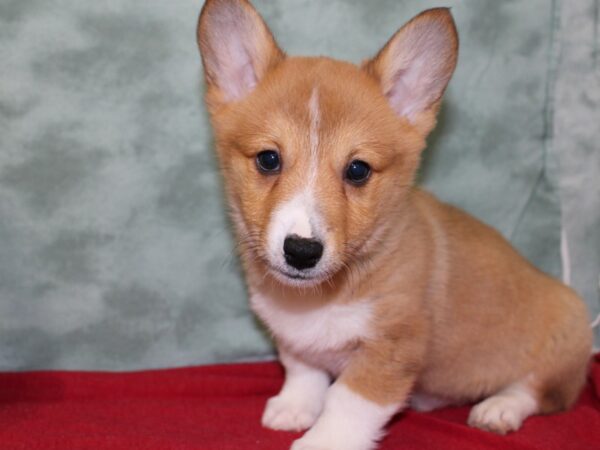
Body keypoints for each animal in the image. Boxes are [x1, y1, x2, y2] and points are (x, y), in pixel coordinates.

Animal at [196, 1, 592, 448]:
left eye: (357, 170)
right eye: (268, 159)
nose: (301, 251)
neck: (324, 295)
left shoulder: (392, 350)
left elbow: (347, 402)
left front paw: (322, 440)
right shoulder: (295, 340)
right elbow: (304, 369)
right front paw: (294, 407)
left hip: (564, 338)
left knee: (540, 391)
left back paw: (499, 409)